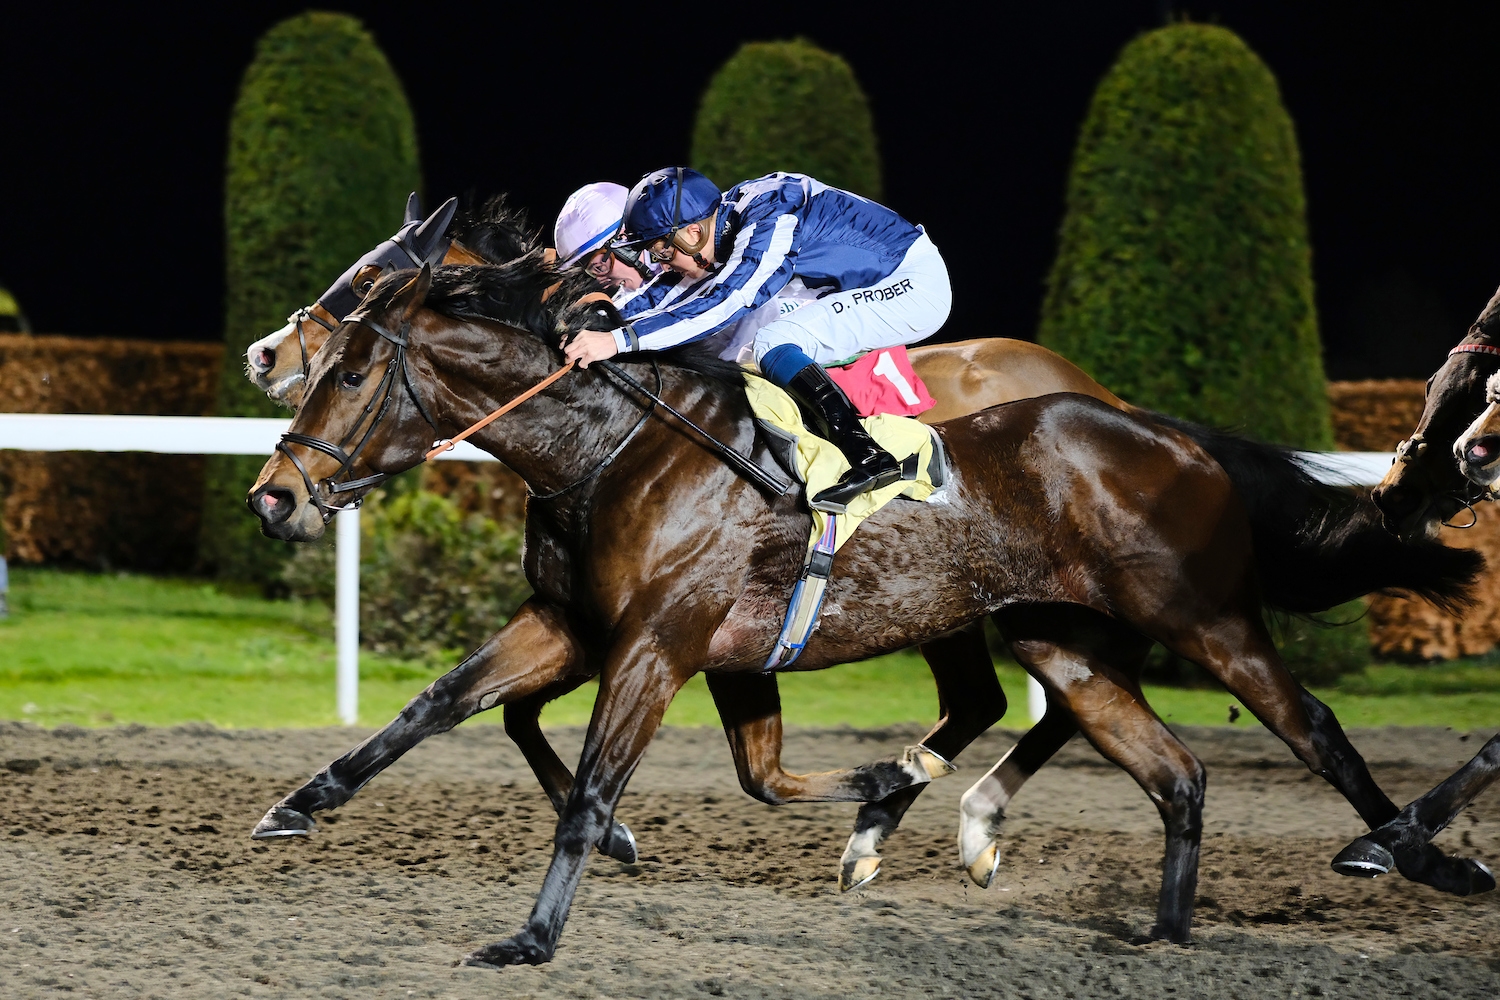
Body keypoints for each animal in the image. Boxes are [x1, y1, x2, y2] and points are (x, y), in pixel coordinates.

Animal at [246, 262, 1488, 965]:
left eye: (350, 372)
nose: (274, 495)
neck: (608, 448)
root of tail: (1172, 432)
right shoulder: (580, 624)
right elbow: (438, 704)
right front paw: (296, 807)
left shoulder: (656, 640)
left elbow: (594, 787)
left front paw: (533, 935)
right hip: (1060, 637)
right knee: (1167, 767)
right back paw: (1158, 932)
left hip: (1205, 618)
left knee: (1313, 729)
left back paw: (1422, 860)